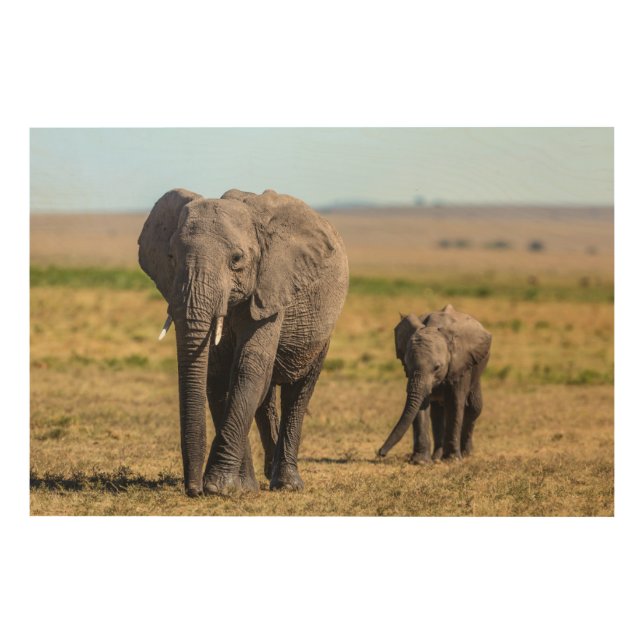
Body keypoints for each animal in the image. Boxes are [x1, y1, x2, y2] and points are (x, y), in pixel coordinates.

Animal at [138, 188, 349, 496]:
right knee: (266, 397)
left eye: (236, 259)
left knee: (298, 392)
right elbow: (218, 376)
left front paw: (218, 486)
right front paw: (241, 488)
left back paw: (286, 484)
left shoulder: (271, 288)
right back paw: (267, 475)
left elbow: (247, 369)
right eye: (171, 256)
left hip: (323, 329)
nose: (193, 489)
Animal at [377, 305, 491, 462]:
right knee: (437, 413)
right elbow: (421, 404)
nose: (380, 453)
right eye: (407, 364)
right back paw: (437, 457)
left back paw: (466, 454)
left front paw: (452, 460)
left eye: (437, 367)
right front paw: (420, 462)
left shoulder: (460, 363)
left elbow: (455, 402)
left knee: (474, 408)